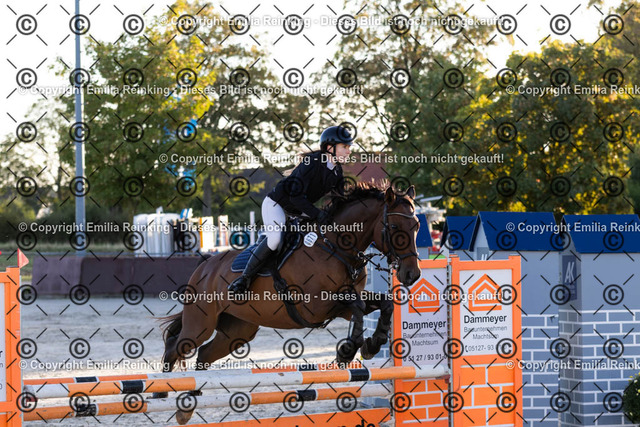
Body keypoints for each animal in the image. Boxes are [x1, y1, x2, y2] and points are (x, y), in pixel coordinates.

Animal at [157, 183, 421, 424]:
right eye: (394, 226)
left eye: (417, 226)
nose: (412, 275)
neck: (336, 248)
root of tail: (204, 267)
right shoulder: (316, 307)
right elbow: (356, 307)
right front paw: (348, 350)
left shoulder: (345, 303)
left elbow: (384, 304)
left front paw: (371, 344)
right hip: (201, 323)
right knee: (176, 346)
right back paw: (161, 392)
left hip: (237, 331)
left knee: (204, 354)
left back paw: (187, 407)